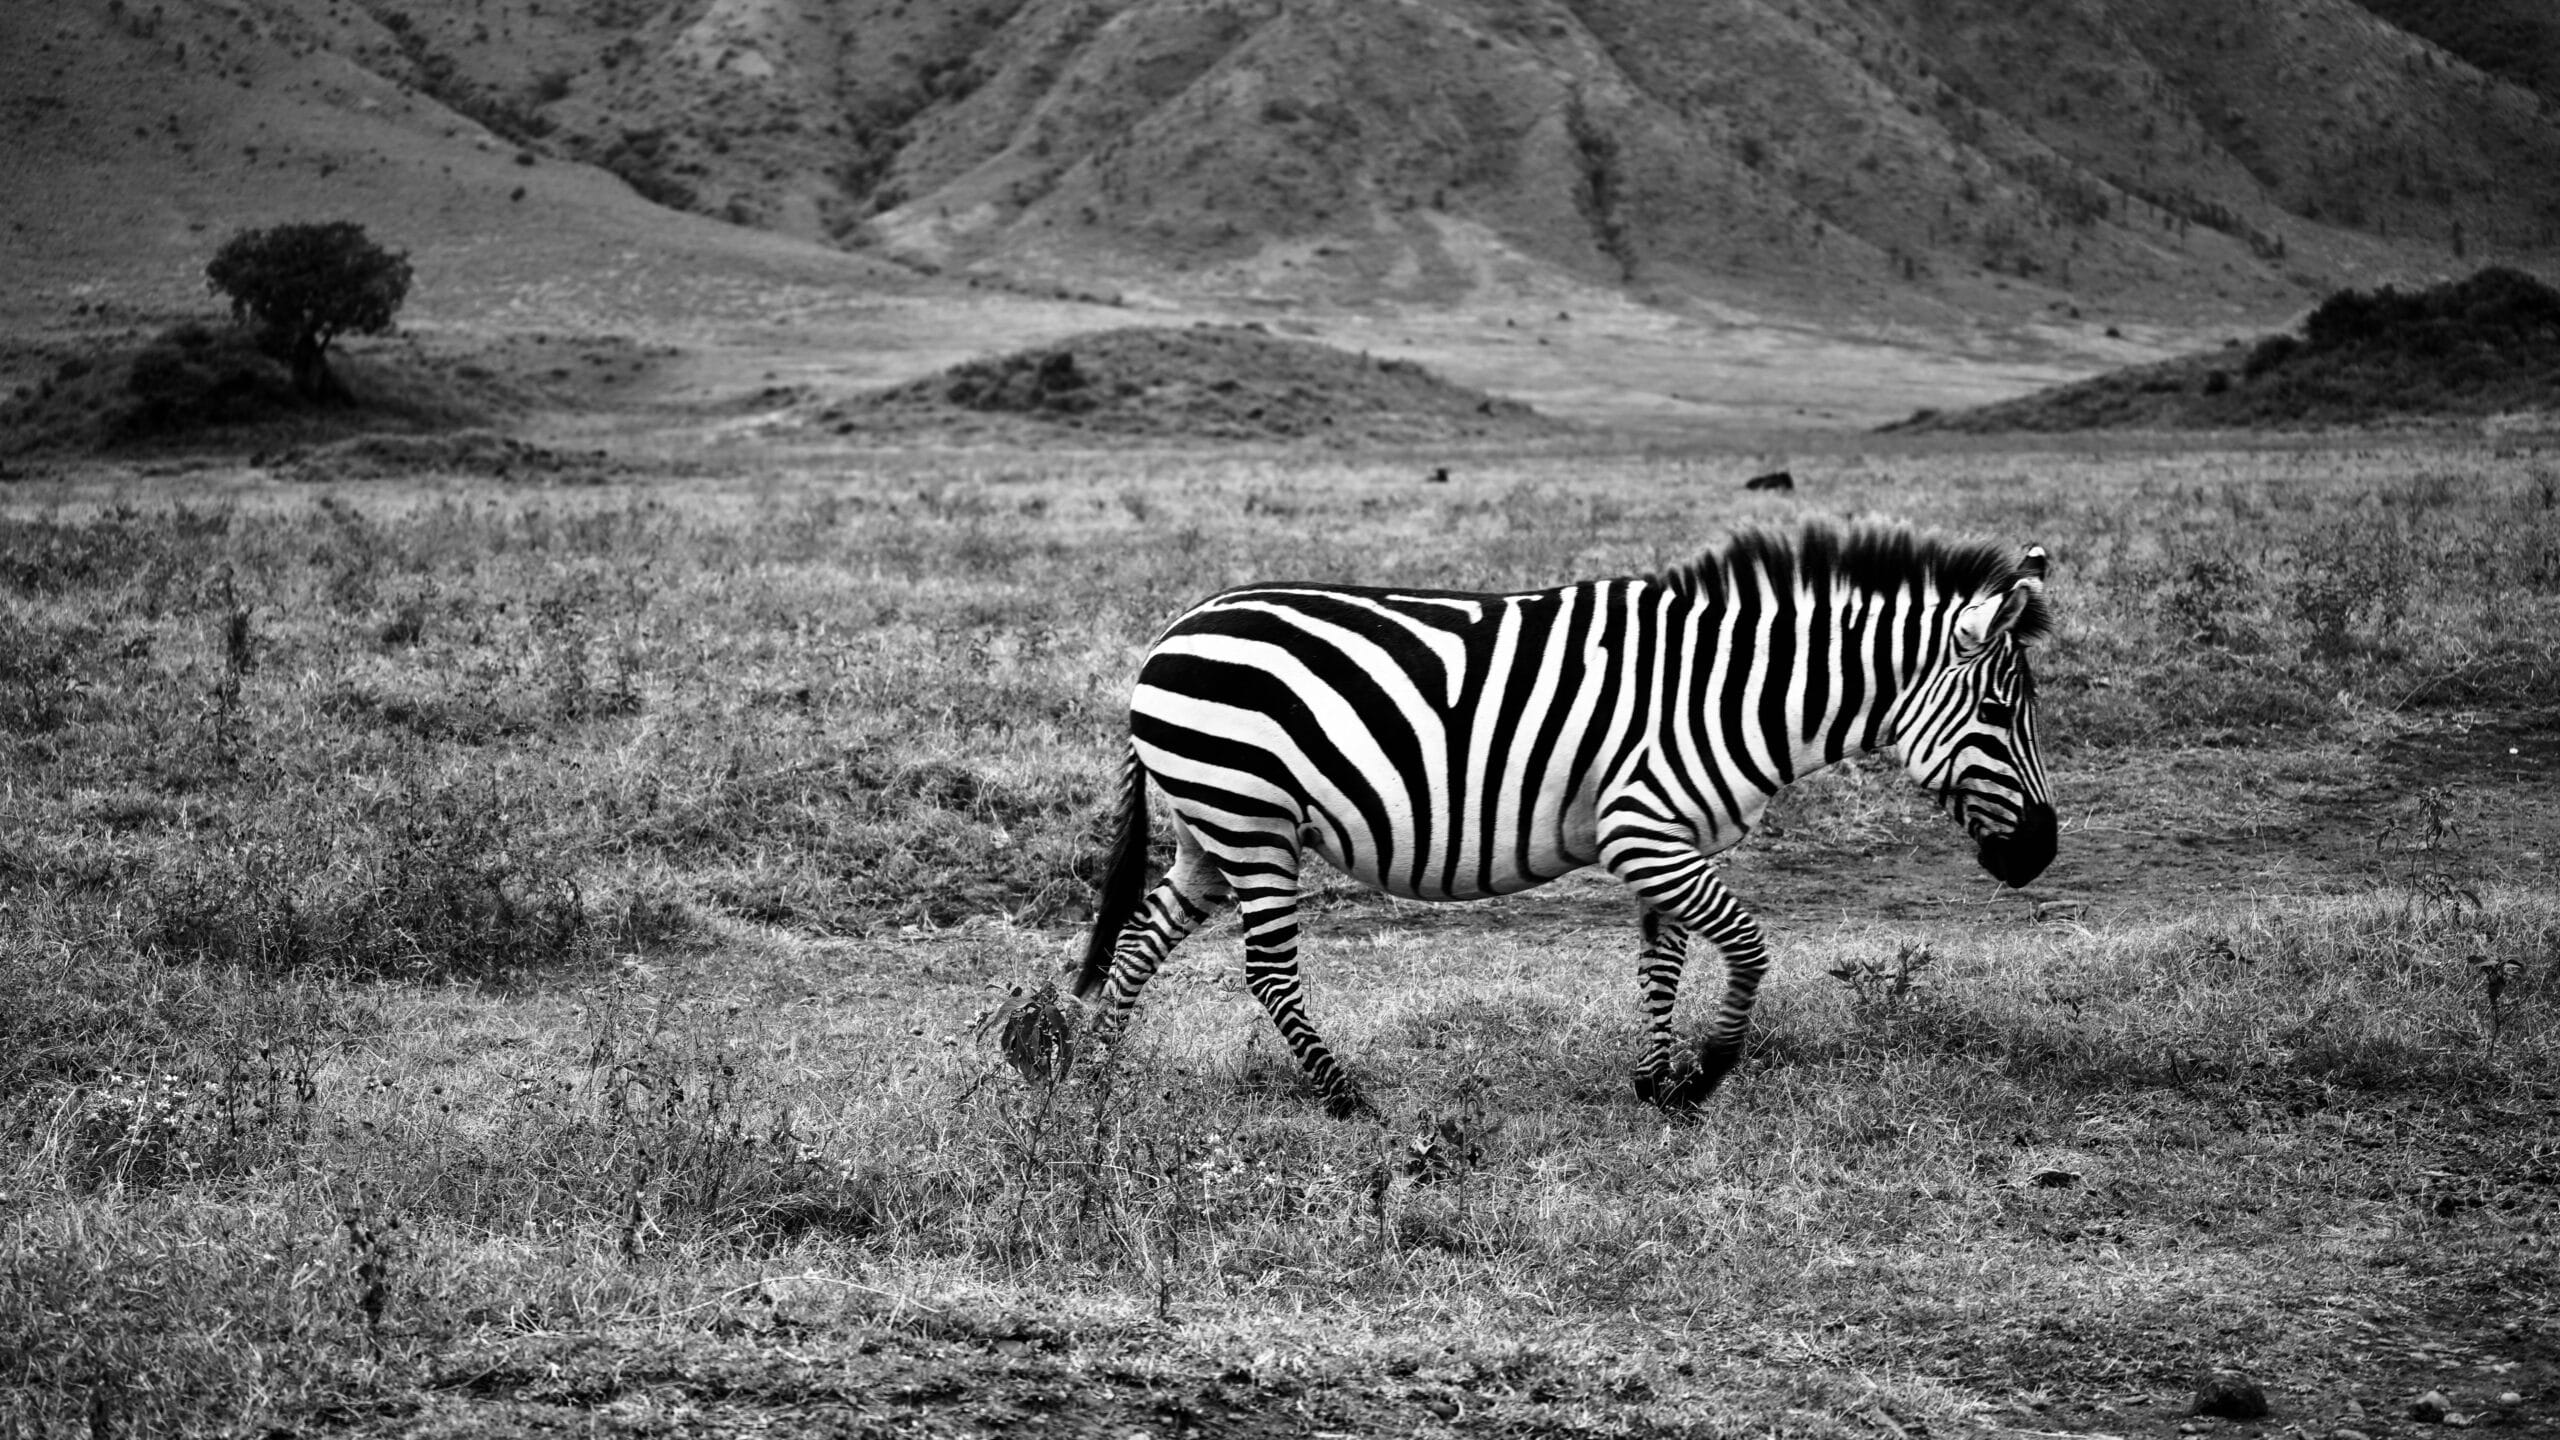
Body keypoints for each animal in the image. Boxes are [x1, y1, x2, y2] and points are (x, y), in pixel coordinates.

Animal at [1070, 520, 2048, 1117]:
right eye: (2000, 714)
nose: (2040, 855)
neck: (1732, 692)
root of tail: (1170, 633)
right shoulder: (1641, 830)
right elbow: (1748, 944)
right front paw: (1709, 1073)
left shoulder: (1669, 839)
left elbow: (1663, 963)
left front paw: (1656, 1084)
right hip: (1253, 818)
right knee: (1268, 971)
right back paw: (1347, 1097)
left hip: (1212, 825)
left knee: (1140, 939)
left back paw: (1093, 1076)